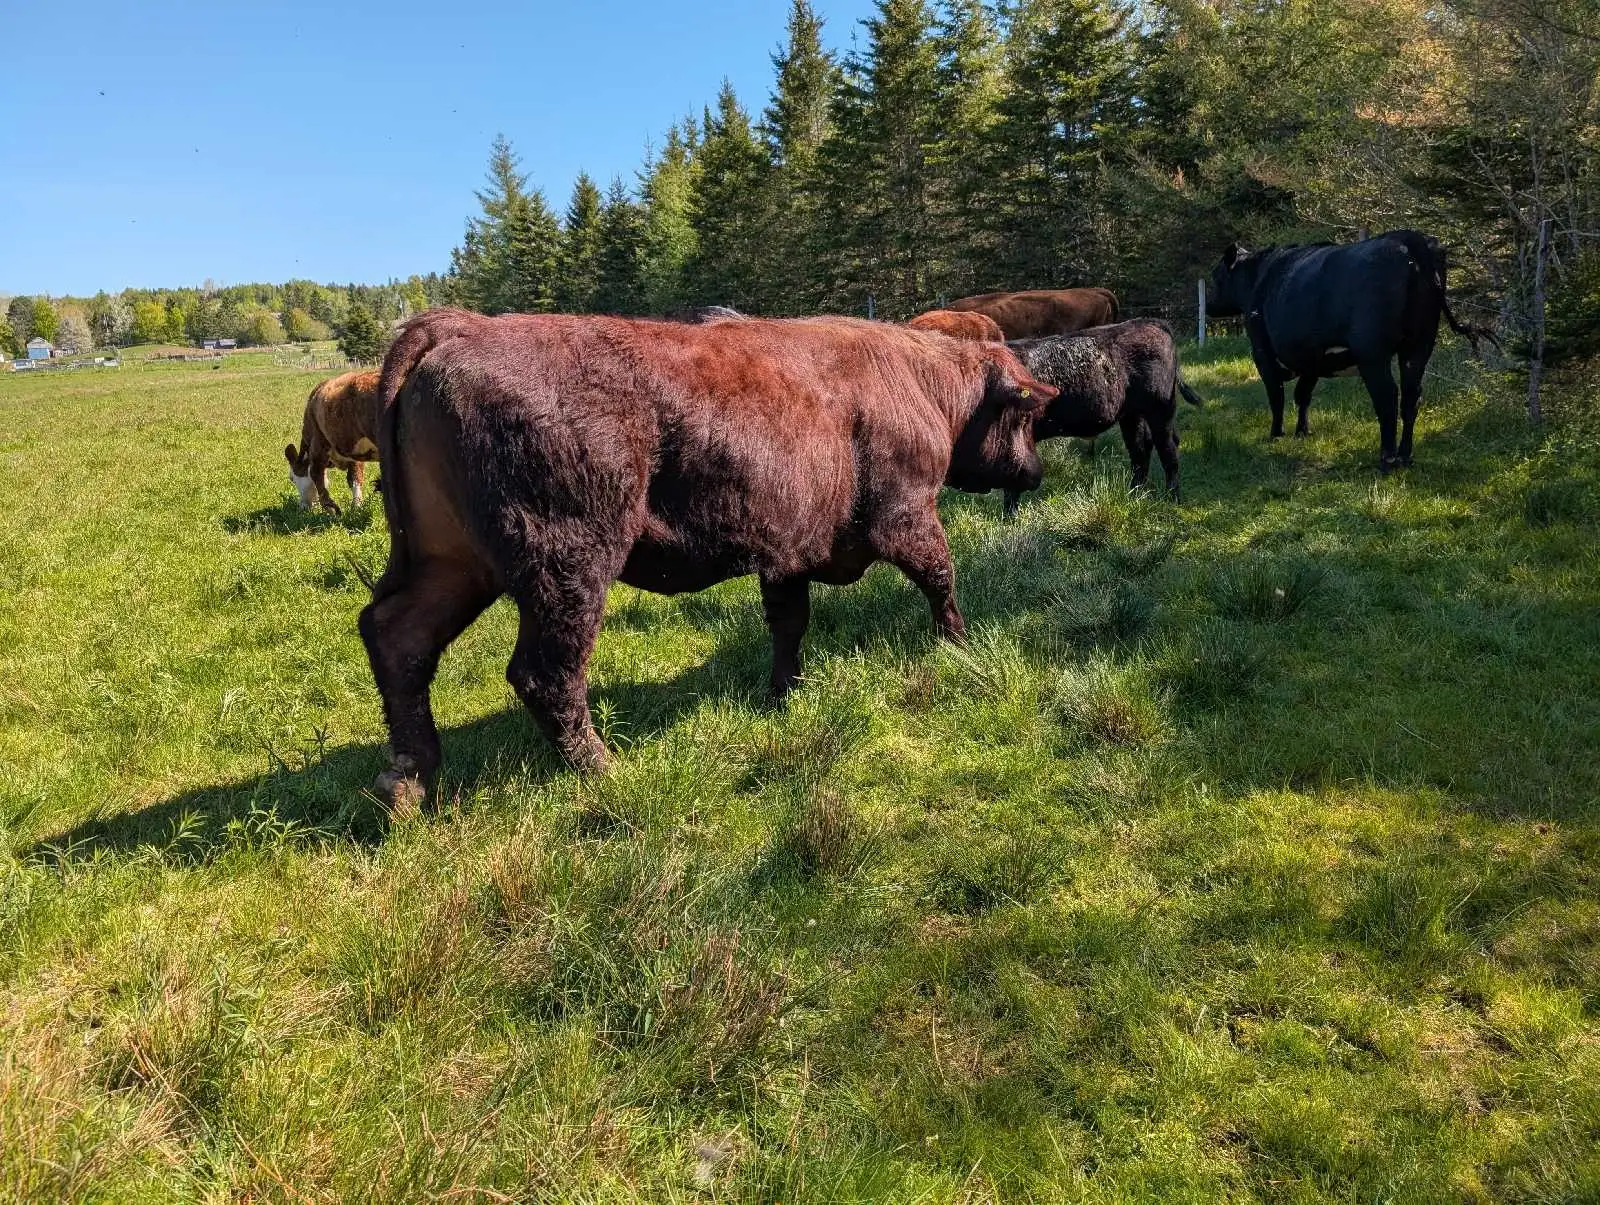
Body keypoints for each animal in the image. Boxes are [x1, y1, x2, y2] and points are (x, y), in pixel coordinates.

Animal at [285, 369, 380, 512]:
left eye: (292, 478)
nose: (302, 506)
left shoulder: (318, 444)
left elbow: (316, 475)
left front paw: (330, 508)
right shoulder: (355, 452)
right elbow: (355, 478)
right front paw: (357, 507)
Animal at [359, 309, 1059, 801]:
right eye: (1024, 418)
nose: (1034, 473)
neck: (924, 381)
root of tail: (458, 329)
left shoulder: (787, 555)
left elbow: (788, 623)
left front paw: (784, 692)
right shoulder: (908, 517)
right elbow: (941, 578)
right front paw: (958, 644)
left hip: (455, 567)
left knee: (398, 636)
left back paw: (409, 782)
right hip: (568, 569)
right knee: (545, 671)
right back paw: (603, 770)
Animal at [1004, 320, 1204, 517]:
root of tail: (1151, 322)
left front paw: (1009, 517)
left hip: (1160, 411)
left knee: (1167, 451)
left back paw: (1172, 500)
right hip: (1133, 416)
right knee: (1140, 451)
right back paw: (1134, 496)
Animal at [1208, 230, 1496, 471]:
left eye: (1215, 277)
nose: (1207, 305)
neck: (1258, 278)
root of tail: (1407, 237)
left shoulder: (1262, 351)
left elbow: (1276, 396)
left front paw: (1276, 434)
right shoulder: (1311, 357)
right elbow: (1303, 395)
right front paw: (1302, 432)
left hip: (1372, 353)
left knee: (1387, 397)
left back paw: (1387, 459)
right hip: (1419, 345)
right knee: (1411, 397)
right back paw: (1405, 456)